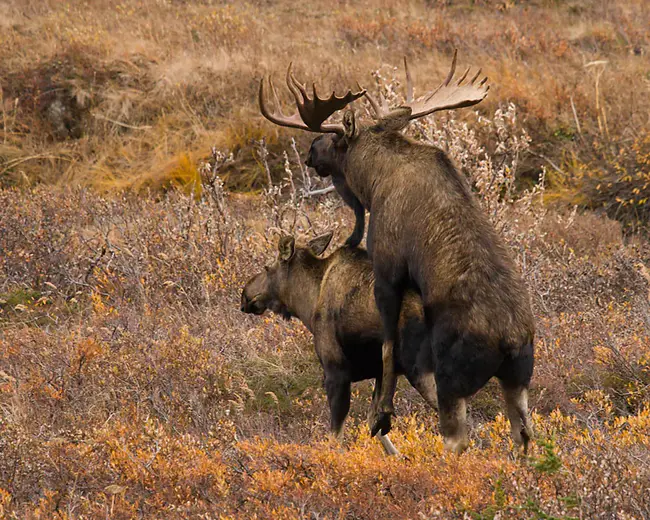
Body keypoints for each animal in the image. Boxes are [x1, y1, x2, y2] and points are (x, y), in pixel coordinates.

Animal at [256, 50, 536, 452]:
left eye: (333, 140)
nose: (310, 153)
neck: (372, 182)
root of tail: (510, 340)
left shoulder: (387, 268)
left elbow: (387, 347)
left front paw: (382, 415)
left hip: (452, 374)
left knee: (458, 436)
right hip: (518, 378)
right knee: (525, 433)